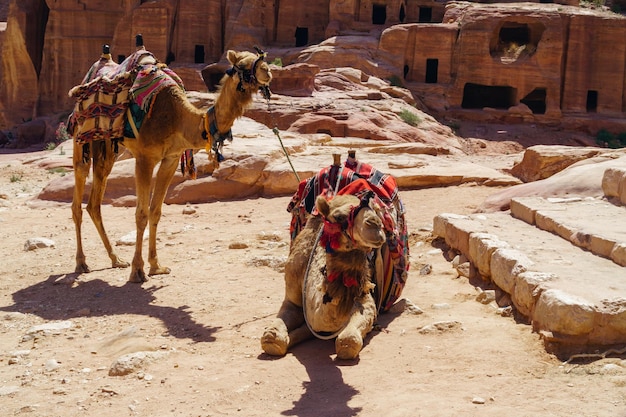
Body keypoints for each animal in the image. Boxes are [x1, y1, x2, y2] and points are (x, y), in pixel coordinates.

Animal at [70, 46, 270, 282]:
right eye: (243, 64)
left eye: (261, 59)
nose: (268, 71)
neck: (178, 118)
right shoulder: (145, 158)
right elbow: (141, 213)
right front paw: (137, 271)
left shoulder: (171, 159)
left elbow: (156, 211)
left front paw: (156, 266)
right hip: (81, 137)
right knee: (78, 194)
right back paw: (81, 263)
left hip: (107, 145)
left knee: (94, 202)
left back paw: (116, 259)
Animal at [258, 188, 386, 358]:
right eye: (338, 216)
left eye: (375, 211)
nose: (375, 225)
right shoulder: (292, 296)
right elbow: (271, 339)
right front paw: (281, 339)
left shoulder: (365, 299)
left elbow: (348, 341)